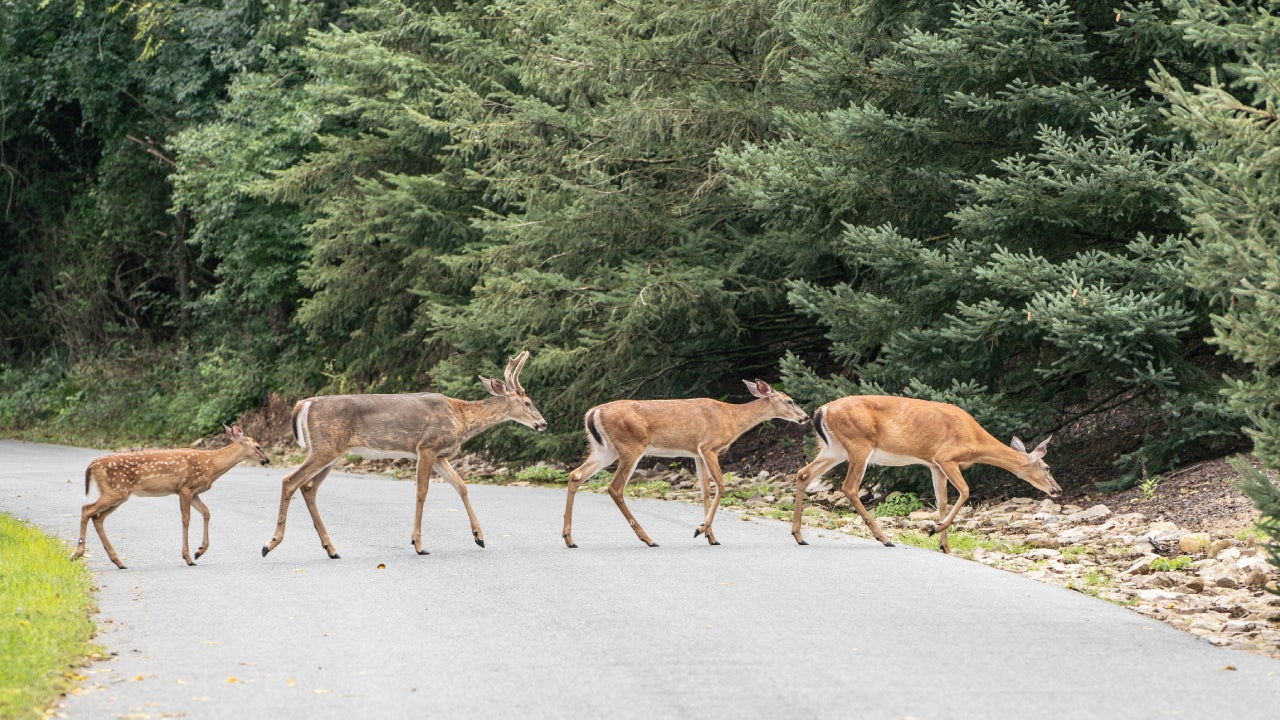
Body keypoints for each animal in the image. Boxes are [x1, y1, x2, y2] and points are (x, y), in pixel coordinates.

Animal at [72, 422, 270, 568]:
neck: (211, 464)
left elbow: (206, 512)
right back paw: (77, 553)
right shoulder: (185, 488)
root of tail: (93, 464)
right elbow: (186, 519)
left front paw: (200, 551)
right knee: (87, 509)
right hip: (116, 491)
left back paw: (118, 561)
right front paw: (188, 557)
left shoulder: (194, 491)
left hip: (119, 495)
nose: (267, 460)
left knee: (98, 517)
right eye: (258, 446)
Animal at [259, 351, 545, 558]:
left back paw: (331, 549)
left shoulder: (441, 455)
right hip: (325, 447)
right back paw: (270, 544)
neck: (461, 418)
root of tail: (303, 403)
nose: (543, 423)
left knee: (308, 488)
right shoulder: (427, 447)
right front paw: (418, 544)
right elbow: (422, 492)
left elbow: (462, 486)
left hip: (333, 453)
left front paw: (479, 537)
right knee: (290, 481)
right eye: (528, 402)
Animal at [563, 379, 808, 545]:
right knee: (615, 487)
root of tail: (593, 412)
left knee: (575, 475)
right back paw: (648, 539)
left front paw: (711, 536)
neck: (731, 419)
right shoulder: (709, 447)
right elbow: (721, 485)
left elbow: (705, 490)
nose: (805, 417)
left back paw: (569, 538)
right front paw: (700, 530)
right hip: (630, 447)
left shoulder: (696, 453)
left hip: (605, 450)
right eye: (789, 400)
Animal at [788, 394, 1059, 550]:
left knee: (803, 473)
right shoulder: (945, 457)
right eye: (1047, 467)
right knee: (849, 487)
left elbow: (942, 501)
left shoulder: (933, 464)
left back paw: (799, 535)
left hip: (834, 449)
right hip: (859, 444)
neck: (974, 441)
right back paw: (885, 538)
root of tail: (821, 411)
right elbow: (964, 491)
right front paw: (933, 529)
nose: (1057, 489)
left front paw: (944, 546)